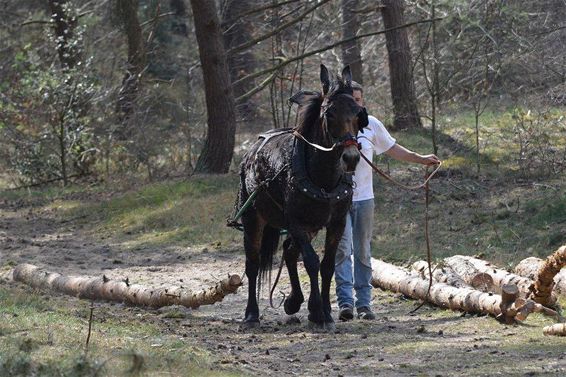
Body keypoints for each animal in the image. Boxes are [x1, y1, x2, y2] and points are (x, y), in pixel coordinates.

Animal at [235, 64, 368, 328]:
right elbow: (311, 261)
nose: (350, 158)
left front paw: (325, 311)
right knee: (253, 263)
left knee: (288, 250)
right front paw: (317, 311)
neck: (323, 177)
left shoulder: (336, 223)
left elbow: (327, 265)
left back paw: (293, 301)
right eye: (329, 114)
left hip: (310, 225)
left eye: (358, 113)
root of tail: (250, 154)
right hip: (254, 218)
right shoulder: (295, 221)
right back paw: (251, 314)